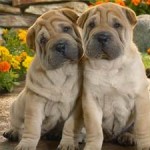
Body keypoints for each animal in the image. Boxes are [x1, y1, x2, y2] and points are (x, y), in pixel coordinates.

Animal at [2, 8, 83, 150]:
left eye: (66, 29)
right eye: (43, 40)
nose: (60, 46)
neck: (62, 71)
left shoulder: (76, 105)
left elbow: (70, 126)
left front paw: (68, 143)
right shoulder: (35, 102)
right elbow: (32, 127)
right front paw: (26, 144)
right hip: (16, 107)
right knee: (17, 124)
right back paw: (12, 132)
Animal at [58, 2, 150, 150]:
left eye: (117, 25)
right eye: (91, 25)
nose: (102, 37)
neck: (110, 66)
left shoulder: (140, 98)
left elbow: (142, 127)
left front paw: (145, 145)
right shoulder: (91, 101)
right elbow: (94, 129)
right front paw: (92, 146)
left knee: (131, 129)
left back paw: (127, 137)